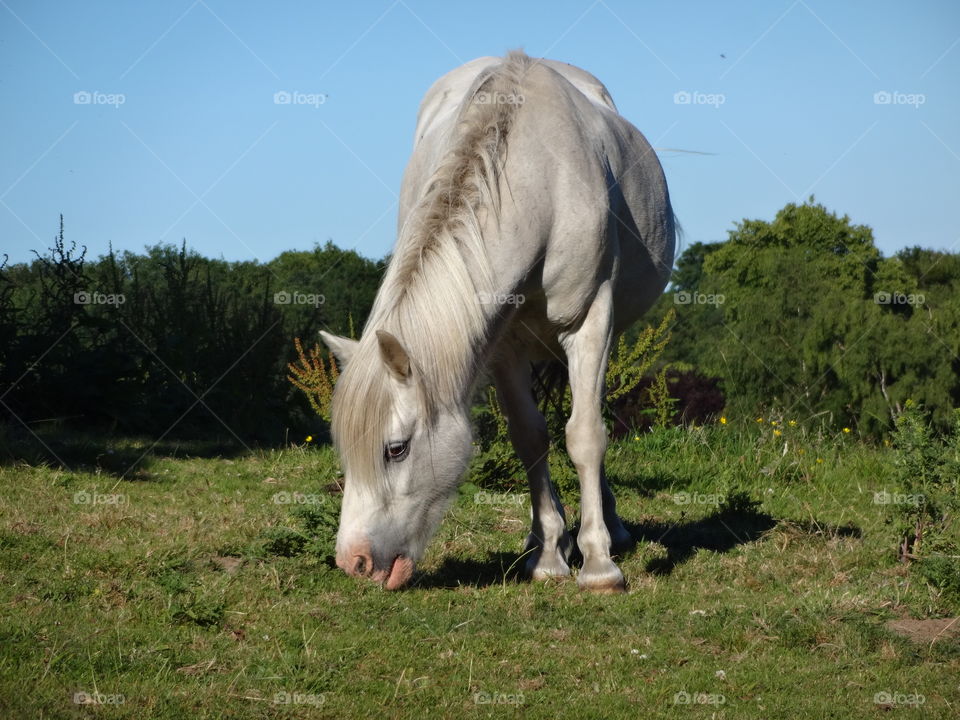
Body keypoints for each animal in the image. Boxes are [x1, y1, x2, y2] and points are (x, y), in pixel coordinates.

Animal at [322, 49, 676, 592]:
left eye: (396, 450)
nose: (353, 561)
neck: (539, 180)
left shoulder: (590, 322)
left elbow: (586, 434)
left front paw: (599, 564)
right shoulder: (503, 342)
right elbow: (530, 437)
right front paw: (548, 555)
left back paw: (609, 529)